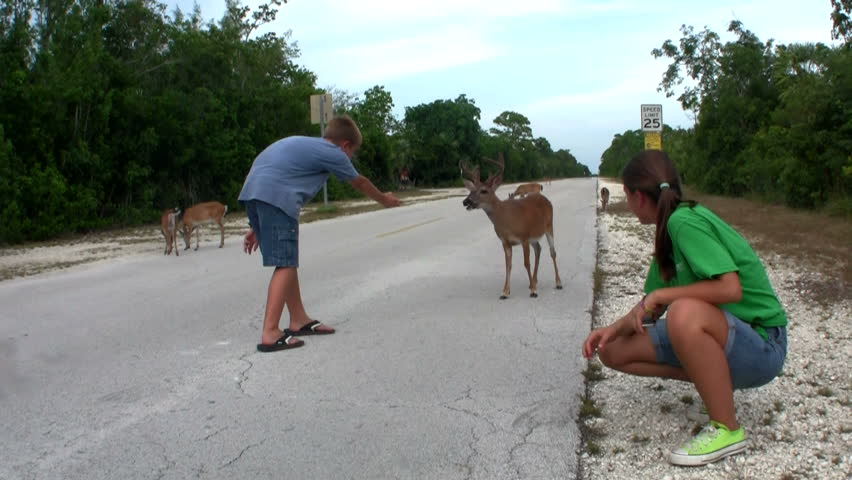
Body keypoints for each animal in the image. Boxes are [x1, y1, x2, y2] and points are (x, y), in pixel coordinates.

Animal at [461, 153, 563, 299]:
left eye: (484, 191)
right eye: (470, 190)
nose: (466, 201)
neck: (506, 219)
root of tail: (545, 199)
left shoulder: (524, 237)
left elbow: (526, 263)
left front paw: (533, 292)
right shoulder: (505, 241)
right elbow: (508, 265)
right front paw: (505, 292)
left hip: (549, 226)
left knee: (552, 252)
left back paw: (558, 282)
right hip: (534, 236)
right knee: (538, 249)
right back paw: (533, 281)